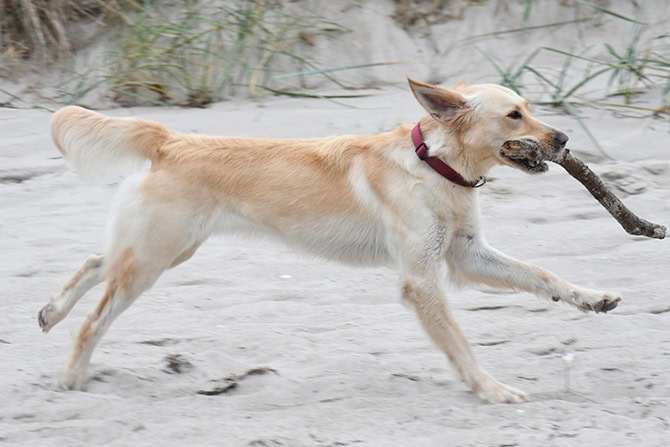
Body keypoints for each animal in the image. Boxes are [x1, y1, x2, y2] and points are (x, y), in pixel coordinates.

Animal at [36, 79, 624, 404]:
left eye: (530, 107)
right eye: (514, 115)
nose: (564, 139)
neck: (433, 165)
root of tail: (170, 138)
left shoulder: (464, 256)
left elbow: (541, 275)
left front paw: (592, 299)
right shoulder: (422, 281)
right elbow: (460, 345)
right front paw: (490, 389)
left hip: (166, 251)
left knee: (94, 261)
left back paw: (50, 311)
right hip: (154, 261)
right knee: (95, 315)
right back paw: (71, 375)